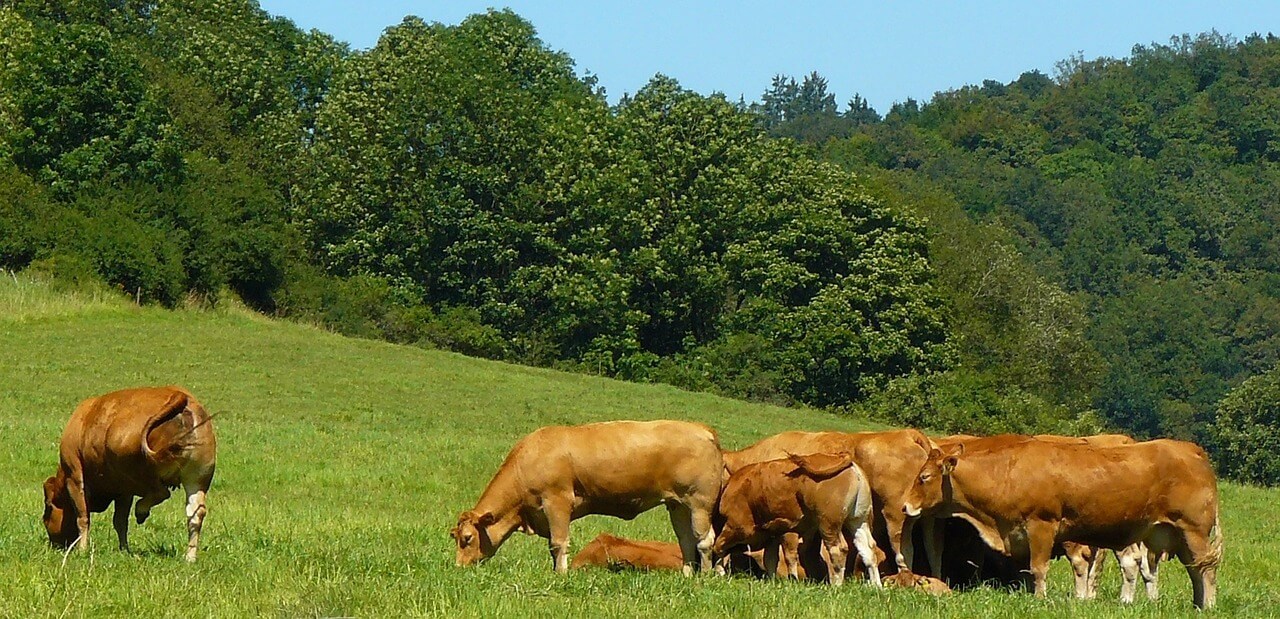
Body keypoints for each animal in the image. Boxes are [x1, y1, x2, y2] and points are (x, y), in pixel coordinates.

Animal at [41, 386, 217, 560]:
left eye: (48, 509)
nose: (55, 544)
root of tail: (180, 395)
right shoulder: (123, 493)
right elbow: (120, 521)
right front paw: (124, 550)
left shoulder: (75, 477)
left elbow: (83, 517)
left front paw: (82, 550)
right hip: (196, 479)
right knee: (195, 513)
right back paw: (190, 557)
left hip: (133, 470)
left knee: (161, 492)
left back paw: (141, 510)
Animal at [453, 419, 732, 575]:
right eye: (455, 537)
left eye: (467, 538)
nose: (458, 567)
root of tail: (702, 430)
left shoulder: (557, 502)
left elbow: (558, 543)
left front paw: (560, 574)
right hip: (678, 505)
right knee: (686, 540)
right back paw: (687, 575)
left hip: (699, 503)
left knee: (705, 540)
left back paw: (705, 576)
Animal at [716, 450, 885, 585]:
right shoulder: (773, 534)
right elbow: (770, 559)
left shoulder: (738, 527)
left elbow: (718, 546)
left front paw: (719, 572)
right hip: (858, 520)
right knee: (868, 549)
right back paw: (876, 586)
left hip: (828, 523)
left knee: (839, 550)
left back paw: (836, 586)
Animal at [901, 439, 1218, 608]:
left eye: (924, 477)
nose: (905, 505)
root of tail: (1192, 449)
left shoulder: (1041, 525)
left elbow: (1038, 568)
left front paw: (1039, 599)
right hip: (1177, 535)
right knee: (1193, 571)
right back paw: (1196, 605)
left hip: (1195, 531)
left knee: (1206, 570)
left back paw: (1209, 604)